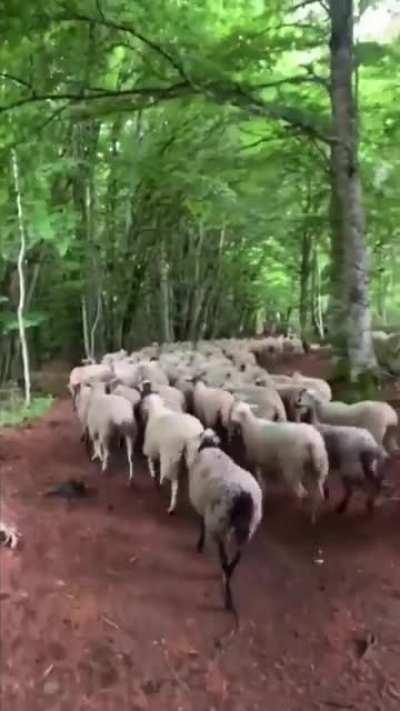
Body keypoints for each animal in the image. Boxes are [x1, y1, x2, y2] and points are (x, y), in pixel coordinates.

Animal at [184, 429, 263, 616]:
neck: (208, 446)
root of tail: (243, 497)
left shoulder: (205, 512)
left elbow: (201, 524)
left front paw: (199, 545)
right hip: (246, 527)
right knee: (237, 556)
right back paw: (227, 578)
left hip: (218, 523)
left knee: (224, 557)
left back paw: (227, 596)